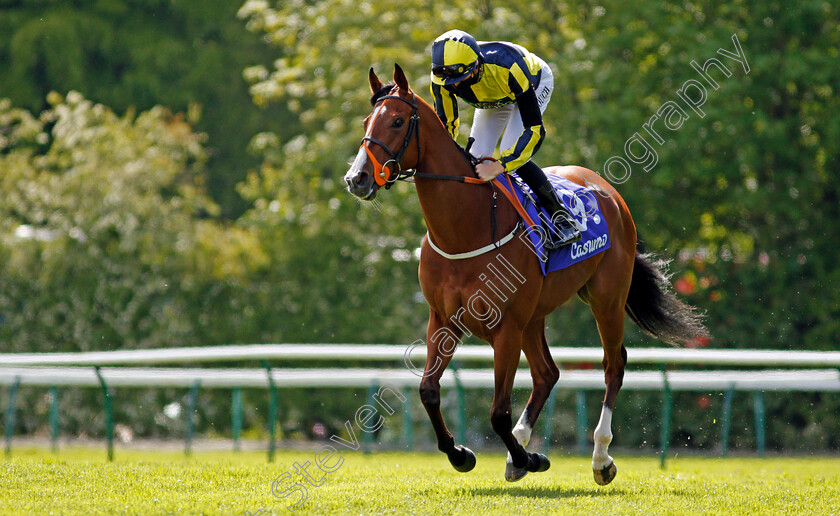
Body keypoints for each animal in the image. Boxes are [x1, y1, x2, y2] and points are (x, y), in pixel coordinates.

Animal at [344, 64, 704, 484]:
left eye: (398, 121)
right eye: (366, 121)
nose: (357, 179)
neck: (465, 227)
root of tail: (607, 190)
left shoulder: (506, 328)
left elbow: (497, 412)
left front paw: (527, 458)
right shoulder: (443, 319)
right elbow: (429, 390)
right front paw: (462, 454)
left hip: (606, 300)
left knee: (613, 365)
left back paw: (600, 457)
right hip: (536, 315)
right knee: (548, 373)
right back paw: (524, 442)